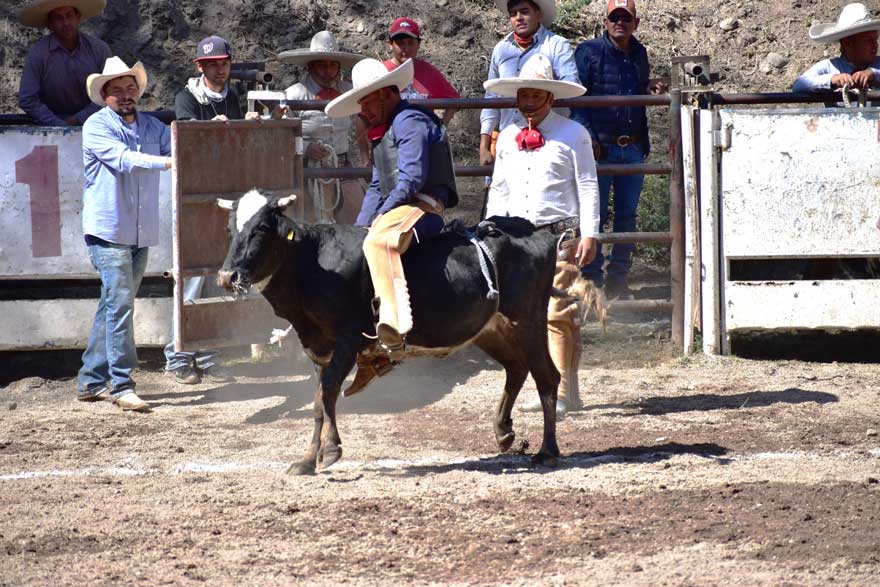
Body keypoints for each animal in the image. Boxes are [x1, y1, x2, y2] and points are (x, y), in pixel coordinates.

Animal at [217, 188, 564, 474]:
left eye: (261, 228)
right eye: (232, 228)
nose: (227, 276)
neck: (313, 263)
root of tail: (539, 234)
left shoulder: (348, 341)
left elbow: (325, 394)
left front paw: (330, 450)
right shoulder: (318, 348)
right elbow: (319, 400)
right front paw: (307, 461)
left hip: (528, 322)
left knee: (547, 376)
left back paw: (548, 451)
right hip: (491, 330)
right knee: (516, 368)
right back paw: (503, 432)